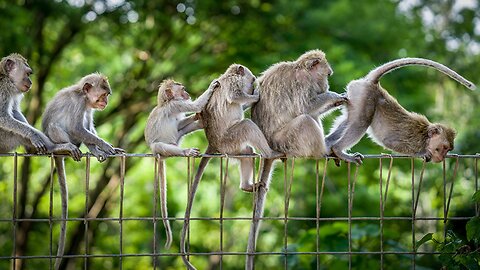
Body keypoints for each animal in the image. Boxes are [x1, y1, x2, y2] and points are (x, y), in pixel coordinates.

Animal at [41, 72, 124, 270]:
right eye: (103, 95)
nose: (106, 102)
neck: (84, 98)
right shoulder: (79, 104)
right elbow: (76, 128)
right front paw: (104, 145)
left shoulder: (87, 107)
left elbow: (88, 127)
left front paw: (101, 148)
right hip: (56, 138)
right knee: (61, 127)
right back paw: (66, 148)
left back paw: (93, 151)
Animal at [142, 79, 218, 250]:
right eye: (182, 89)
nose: (187, 93)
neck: (166, 102)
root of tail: (162, 158)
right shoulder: (176, 104)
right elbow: (195, 105)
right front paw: (212, 86)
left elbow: (181, 122)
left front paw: (197, 117)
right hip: (163, 148)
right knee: (159, 145)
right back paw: (185, 151)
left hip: (176, 140)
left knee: (180, 129)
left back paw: (200, 123)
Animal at [182, 63, 284, 270]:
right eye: (251, 80)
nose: (252, 86)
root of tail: (213, 143)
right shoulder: (232, 83)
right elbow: (235, 97)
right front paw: (256, 95)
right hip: (230, 140)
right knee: (247, 126)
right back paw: (270, 153)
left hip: (232, 148)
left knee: (247, 153)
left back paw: (247, 186)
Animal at [246, 49, 346, 268]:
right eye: (326, 75)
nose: (327, 85)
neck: (302, 69)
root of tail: (268, 148)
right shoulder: (303, 83)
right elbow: (306, 107)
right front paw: (333, 96)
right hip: (285, 141)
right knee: (306, 120)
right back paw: (325, 150)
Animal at [326, 58, 476, 166]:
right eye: (443, 148)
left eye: (448, 150)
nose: (442, 158)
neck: (425, 136)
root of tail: (374, 84)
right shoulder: (414, 141)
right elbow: (390, 142)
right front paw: (421, 154)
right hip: (365, 96)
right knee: (361, 122)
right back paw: (338, 150)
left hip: (356, 96)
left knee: (349, 121)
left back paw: (329, 145)